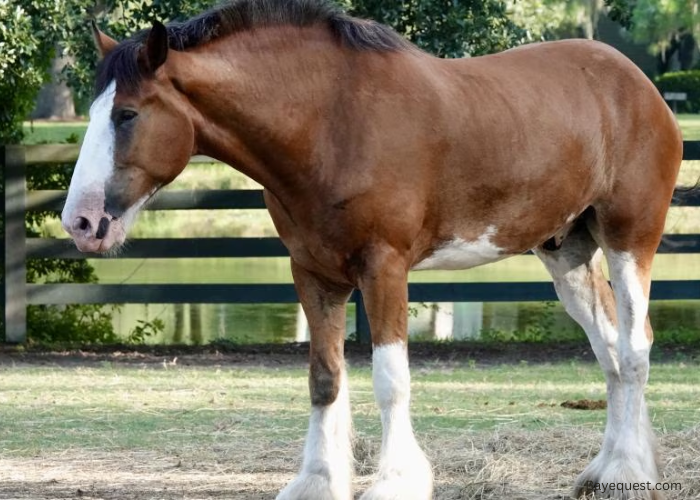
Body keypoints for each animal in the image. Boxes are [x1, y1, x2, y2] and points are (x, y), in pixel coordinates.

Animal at [60, 1, 683, 498]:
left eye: (127, 114)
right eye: (92, 113)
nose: (82, 222)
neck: (330, 123)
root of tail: (639, 84)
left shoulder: (384, 268)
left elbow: (390, 379)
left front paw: (396, 482)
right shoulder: (314, 273)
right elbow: (325, 377)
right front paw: (316, 481)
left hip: (629, 239)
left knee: (633, 348)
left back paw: (629, 473)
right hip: (566, 251)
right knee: (609, 350)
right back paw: (605, 471)